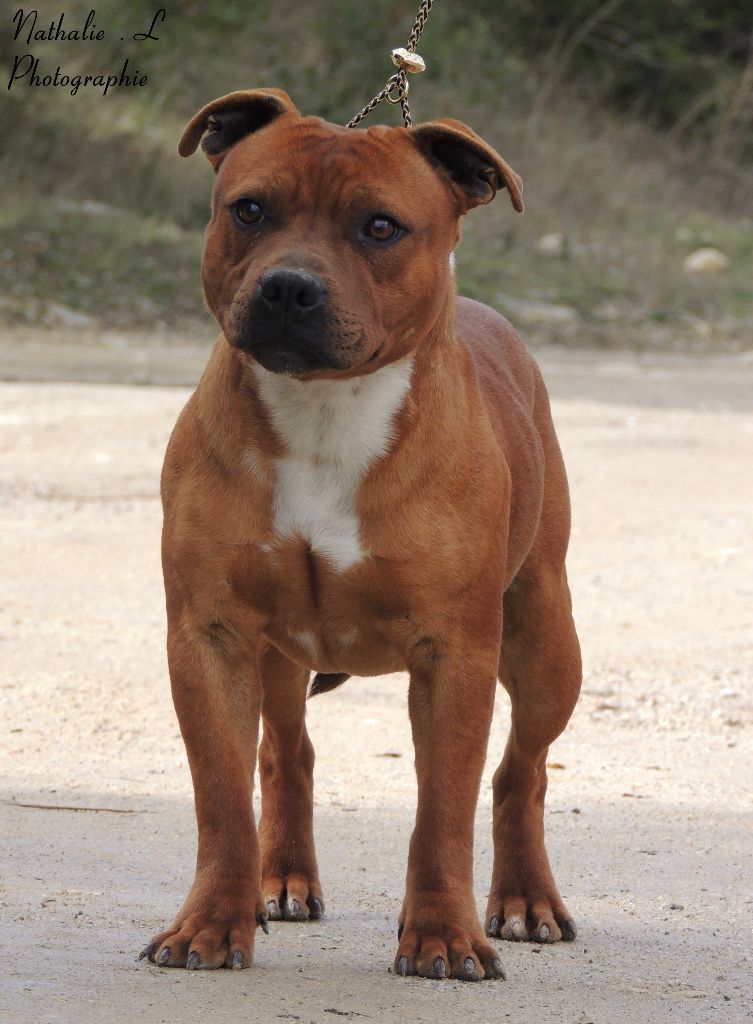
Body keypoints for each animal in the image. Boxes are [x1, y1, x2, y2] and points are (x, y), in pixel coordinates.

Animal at [139, 88, 582, 982]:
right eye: (249, 209)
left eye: (380, 227)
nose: (287, 287)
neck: (324, 409)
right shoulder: (210, 637)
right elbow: (220, 797)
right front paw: (210, 923)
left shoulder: (454, 653)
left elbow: (442, 809)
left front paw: (443, 936)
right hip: (277, 660)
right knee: (286, 753)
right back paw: (280, 883)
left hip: (545, 640)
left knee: (520, 770)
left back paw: (525, 901)